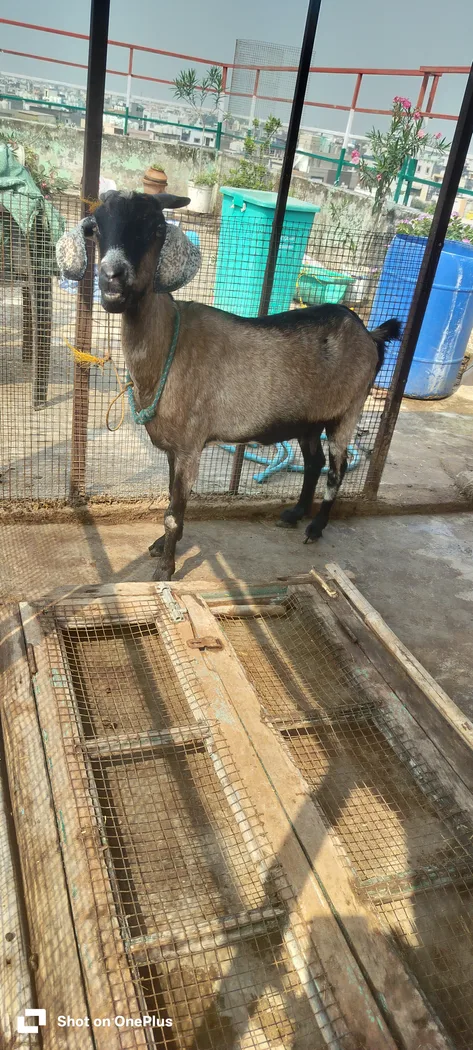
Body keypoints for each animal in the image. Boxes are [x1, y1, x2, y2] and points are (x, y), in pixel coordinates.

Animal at [57, 190, 400, 582]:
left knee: (336, 470)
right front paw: (162, 546)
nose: (112, 278)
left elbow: (174, 512)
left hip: (348, 411)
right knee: (313, 464)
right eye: (96, 228)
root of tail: (368, 333)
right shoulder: (175, 449)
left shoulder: (190, 445)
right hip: (308, 421)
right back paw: (295, 515)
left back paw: (316, 527)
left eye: (157, 227)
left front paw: (165, 568)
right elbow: (171, 501)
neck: (168, 346)